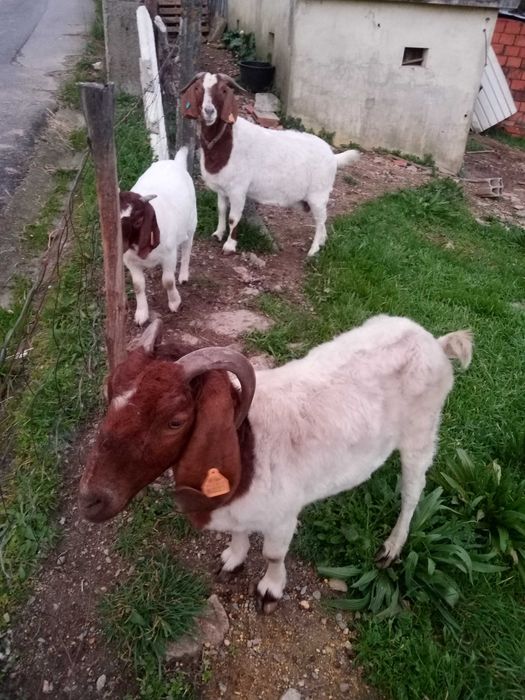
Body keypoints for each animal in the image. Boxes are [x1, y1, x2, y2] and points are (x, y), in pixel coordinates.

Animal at [79, 315, 472, 613]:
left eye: (175, 420)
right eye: (109, 392)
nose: (91, 500)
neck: (249, 448)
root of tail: (435, 343)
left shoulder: (283, 516)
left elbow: (272, 554)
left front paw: (269, 590)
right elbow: (238, 534)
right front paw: (232, 559)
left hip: (422, 431)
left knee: (413, 491)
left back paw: (391, 548)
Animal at [119, 147, 197, 325]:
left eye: (138, 220)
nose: (119, 245)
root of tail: (174, 162)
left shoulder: (169, 255)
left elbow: (168, 281)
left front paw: (175, 303)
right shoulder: (130, 261)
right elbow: (138, 286)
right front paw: (141, 314)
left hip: (192, 222)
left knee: (187, 246)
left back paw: (183, 275)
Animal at [180, 72, 359, 256]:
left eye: (223, 90)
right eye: (197, 88)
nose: (209, 111)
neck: (228, 141)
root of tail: (333, 157)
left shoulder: (238, 189)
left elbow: (233, 217)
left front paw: (230, 245)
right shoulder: (222, 188)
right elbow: (222, 210)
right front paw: (218, 234)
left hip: (319, 194)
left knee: (321, 220)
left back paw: (313, 250)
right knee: (322, 222)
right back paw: (321, 244)